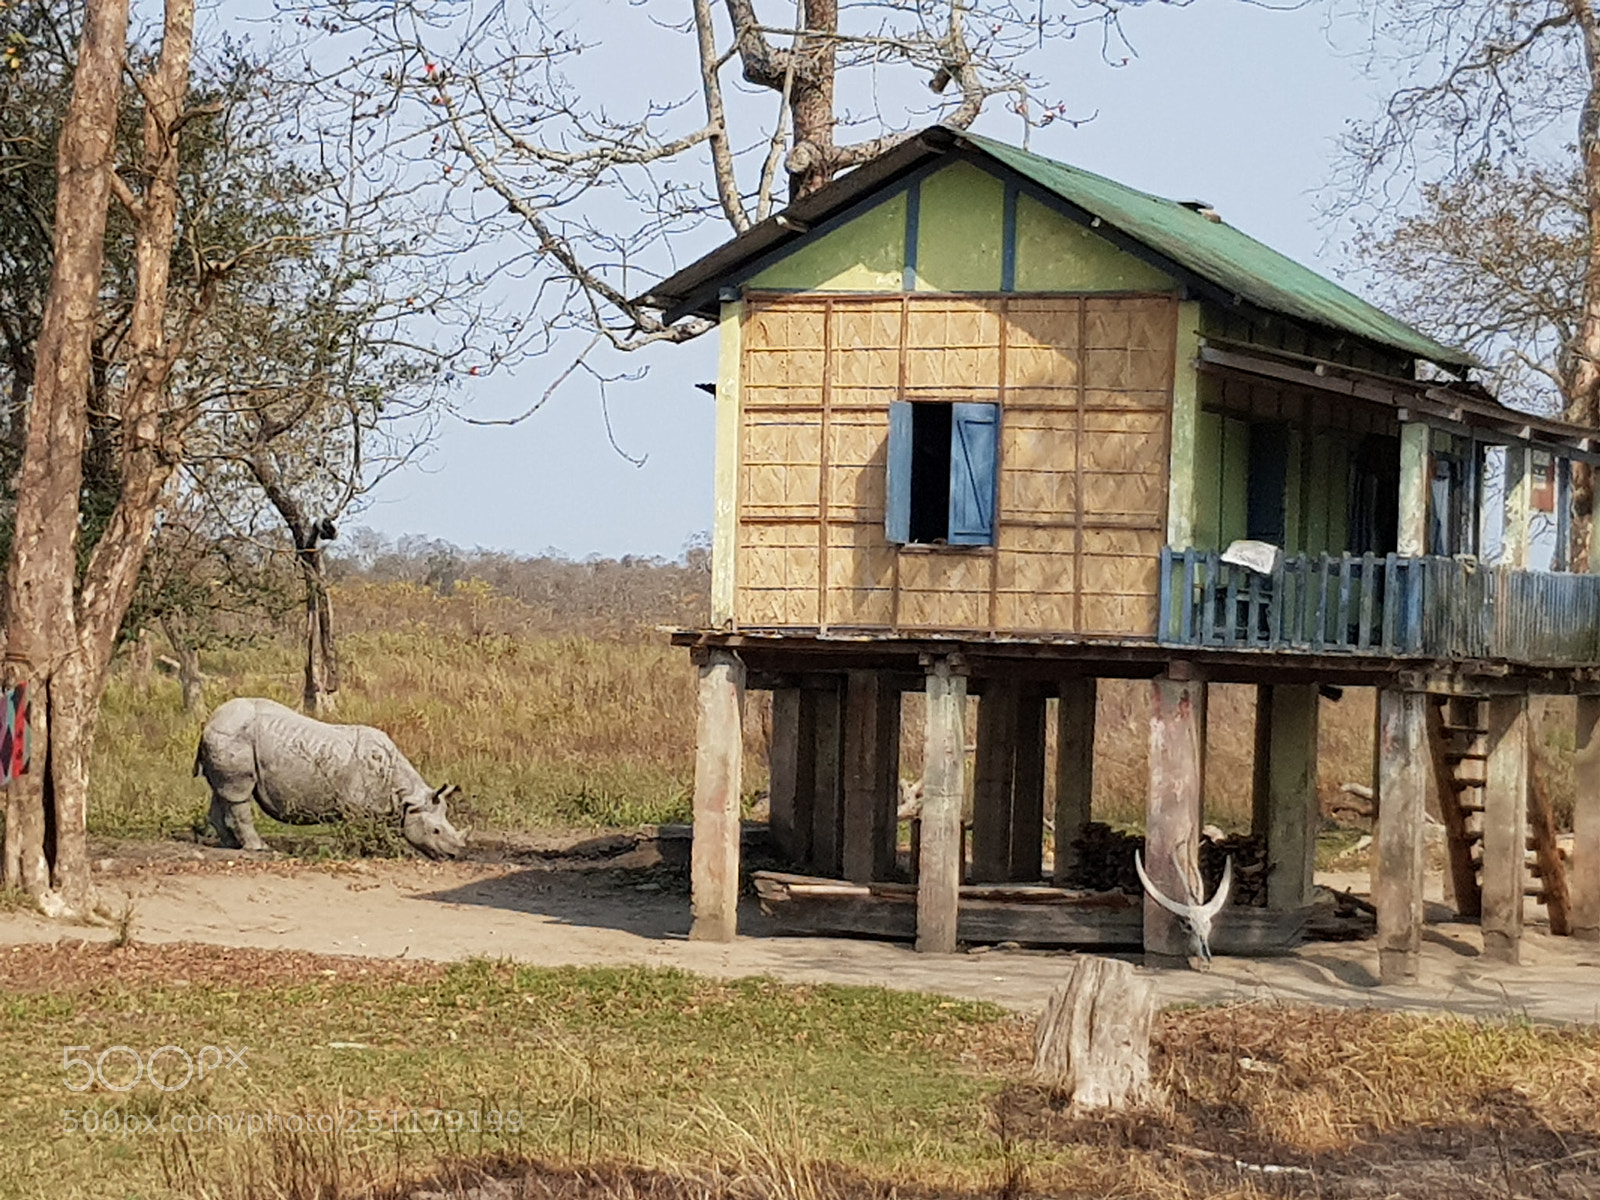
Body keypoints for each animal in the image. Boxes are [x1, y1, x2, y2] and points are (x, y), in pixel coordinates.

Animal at [194, 697, 466, 858]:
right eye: (436, 831)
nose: (453, 856)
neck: (407, 796)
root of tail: (209, 720)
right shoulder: (356, 805)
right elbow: (358, 828)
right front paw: (362, 851)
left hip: (228, 736)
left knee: (222, 791)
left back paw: (230, 844)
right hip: (233, 736)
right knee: (238, 793)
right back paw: (258, 848)